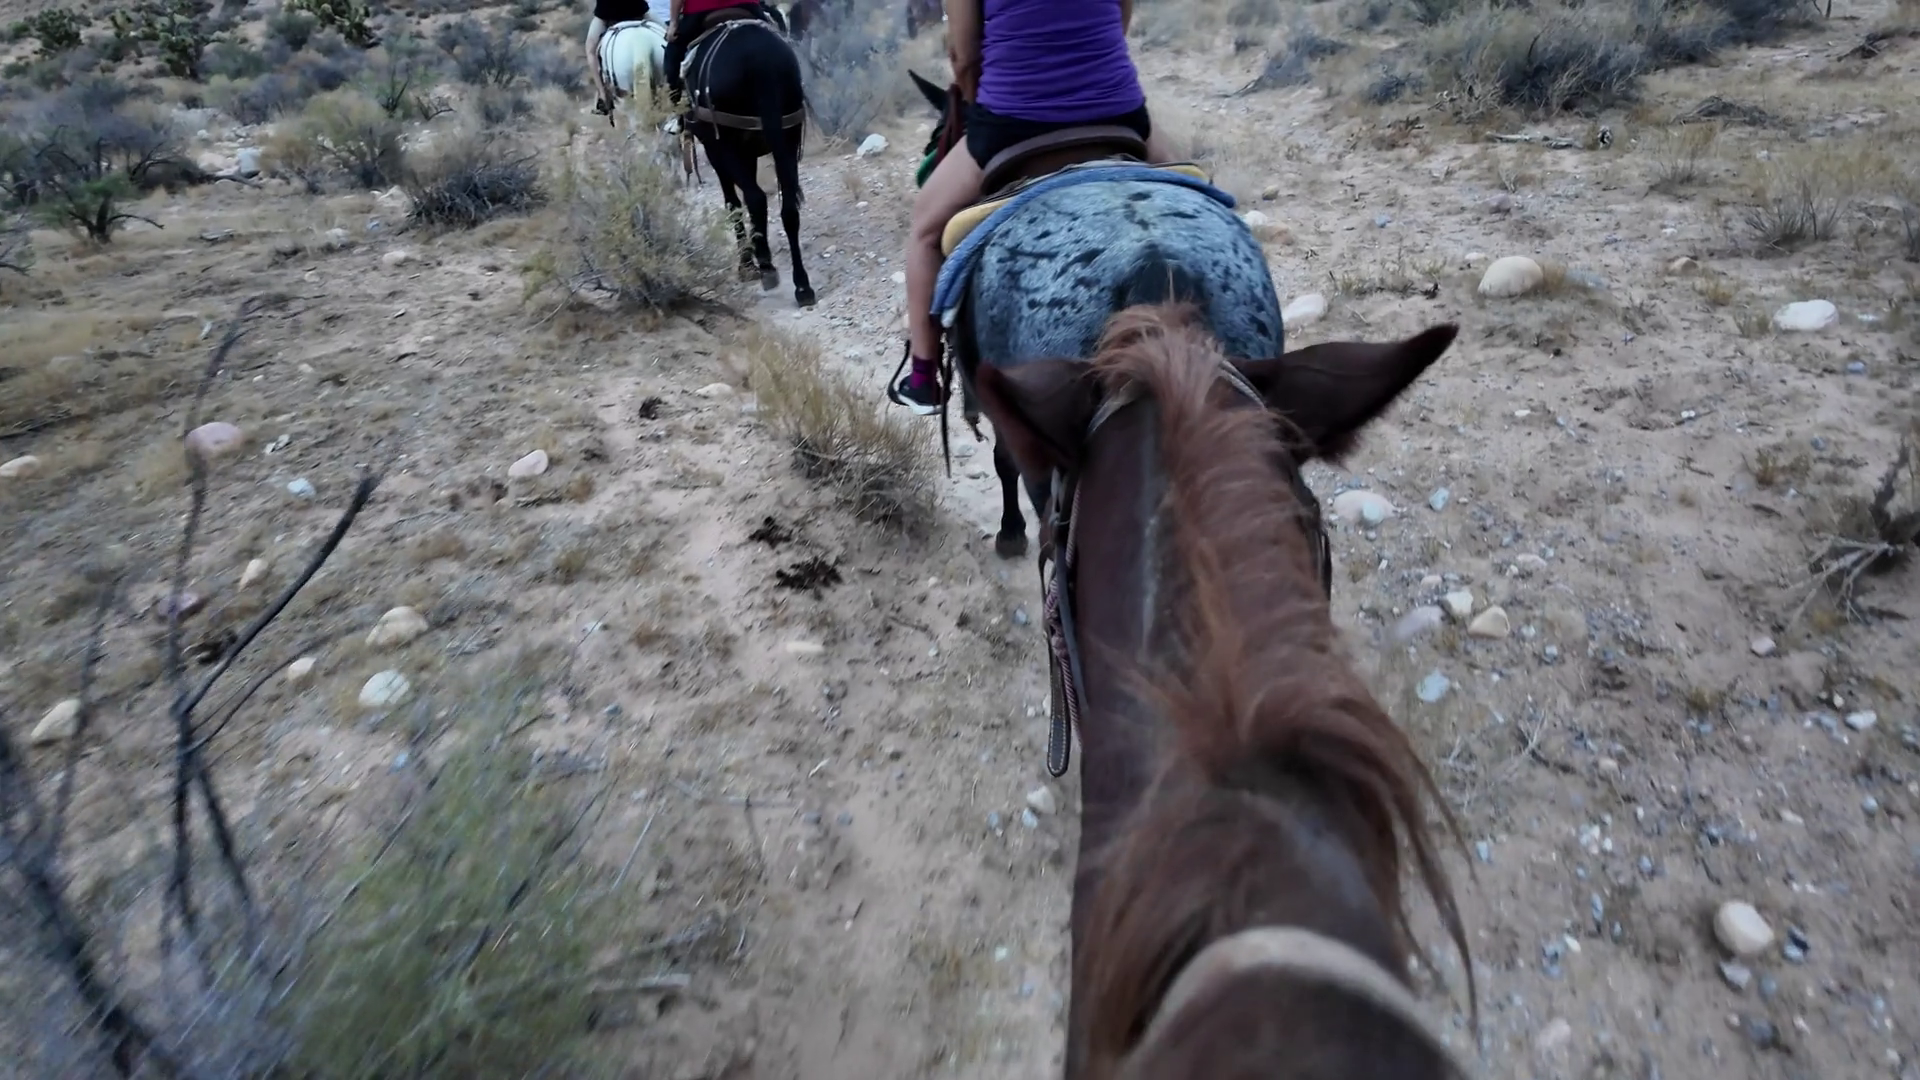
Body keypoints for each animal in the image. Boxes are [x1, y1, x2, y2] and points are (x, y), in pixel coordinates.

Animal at [677, 9, 815, 306]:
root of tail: (757, 57)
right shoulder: (750, 154)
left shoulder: (718, 151)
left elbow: (733, 204)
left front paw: (748, 263)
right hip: (786, 138)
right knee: (788, 209)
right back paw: (802, 285)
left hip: (725, 146)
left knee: (755, 198)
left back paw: (764, 267)